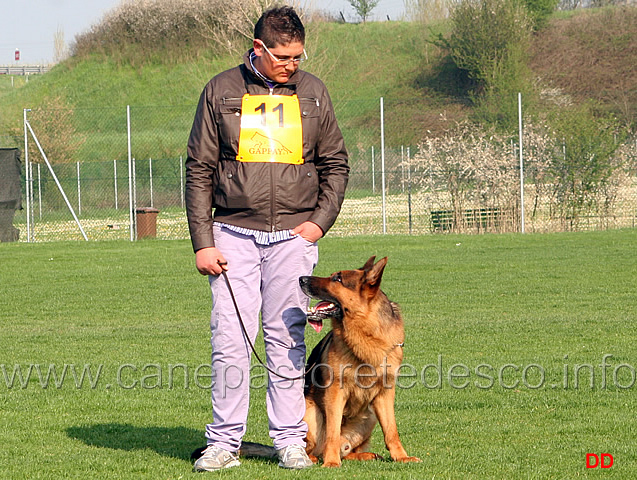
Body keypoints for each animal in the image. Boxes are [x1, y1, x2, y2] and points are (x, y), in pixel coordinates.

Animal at [191, 256, 420, 466]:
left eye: (337, 278)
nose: (301, 278)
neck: (365, 333)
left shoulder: (385, 394)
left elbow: (391, 430)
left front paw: (401, 457)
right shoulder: (335, 392)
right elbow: (332, 432)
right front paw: (331, 463)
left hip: (369, 415)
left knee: (347, 450)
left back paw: (364, 455)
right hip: (311, 411)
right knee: (314, 447)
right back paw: (312, 457)